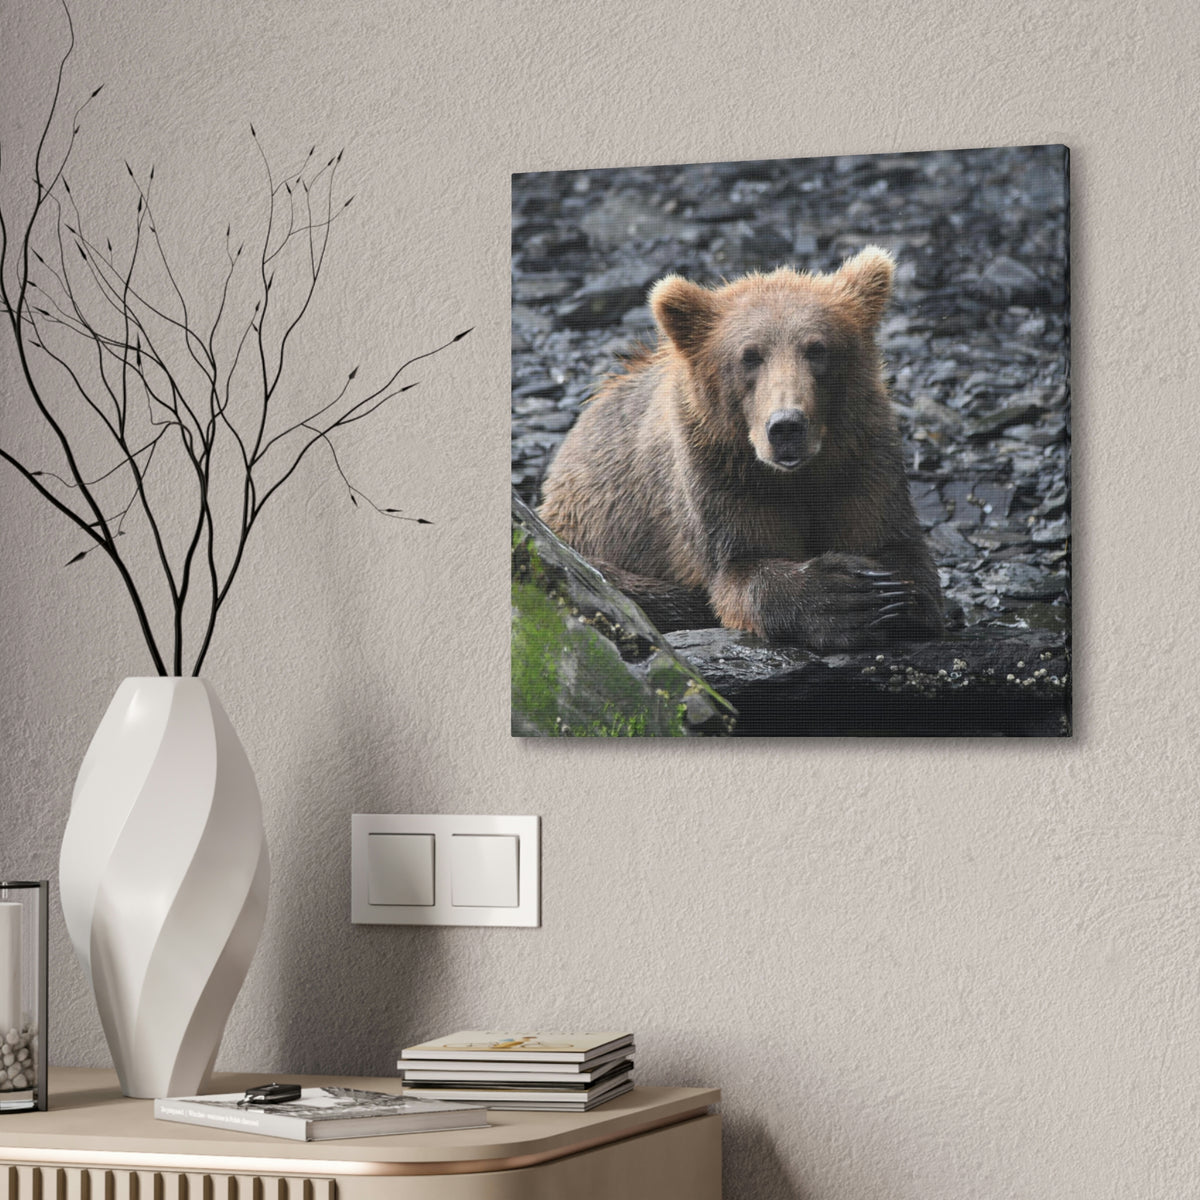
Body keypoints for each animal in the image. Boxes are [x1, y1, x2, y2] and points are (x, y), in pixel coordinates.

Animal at [538, 246, 943, 652]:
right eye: (750, 355)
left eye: (817, 349)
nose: (786, 426)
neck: (797, 476)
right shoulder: (721, 475)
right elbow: (742, 568)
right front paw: (845, 596)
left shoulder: (862, 459)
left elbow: (895, 546)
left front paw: (890, 594)